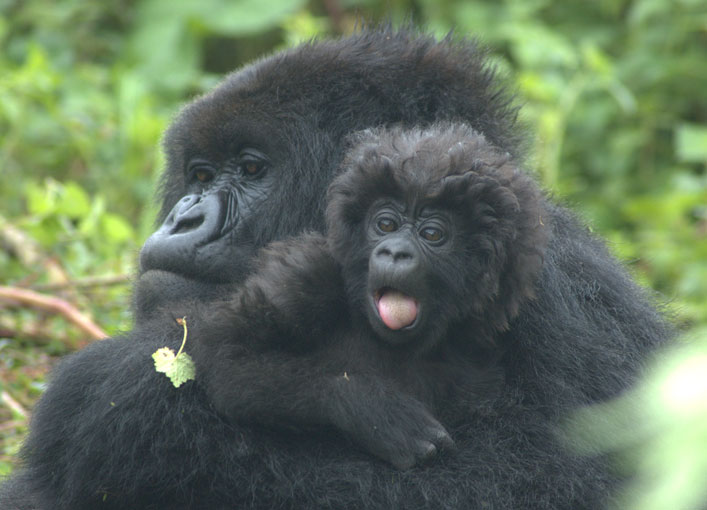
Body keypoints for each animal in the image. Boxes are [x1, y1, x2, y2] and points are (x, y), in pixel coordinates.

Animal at [191, 123, 552, 470]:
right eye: (386, 225)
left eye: (432, 234)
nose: (395, 252)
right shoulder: (304, 275)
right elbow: (231, 356)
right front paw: (375, 409)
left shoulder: (477, 360)